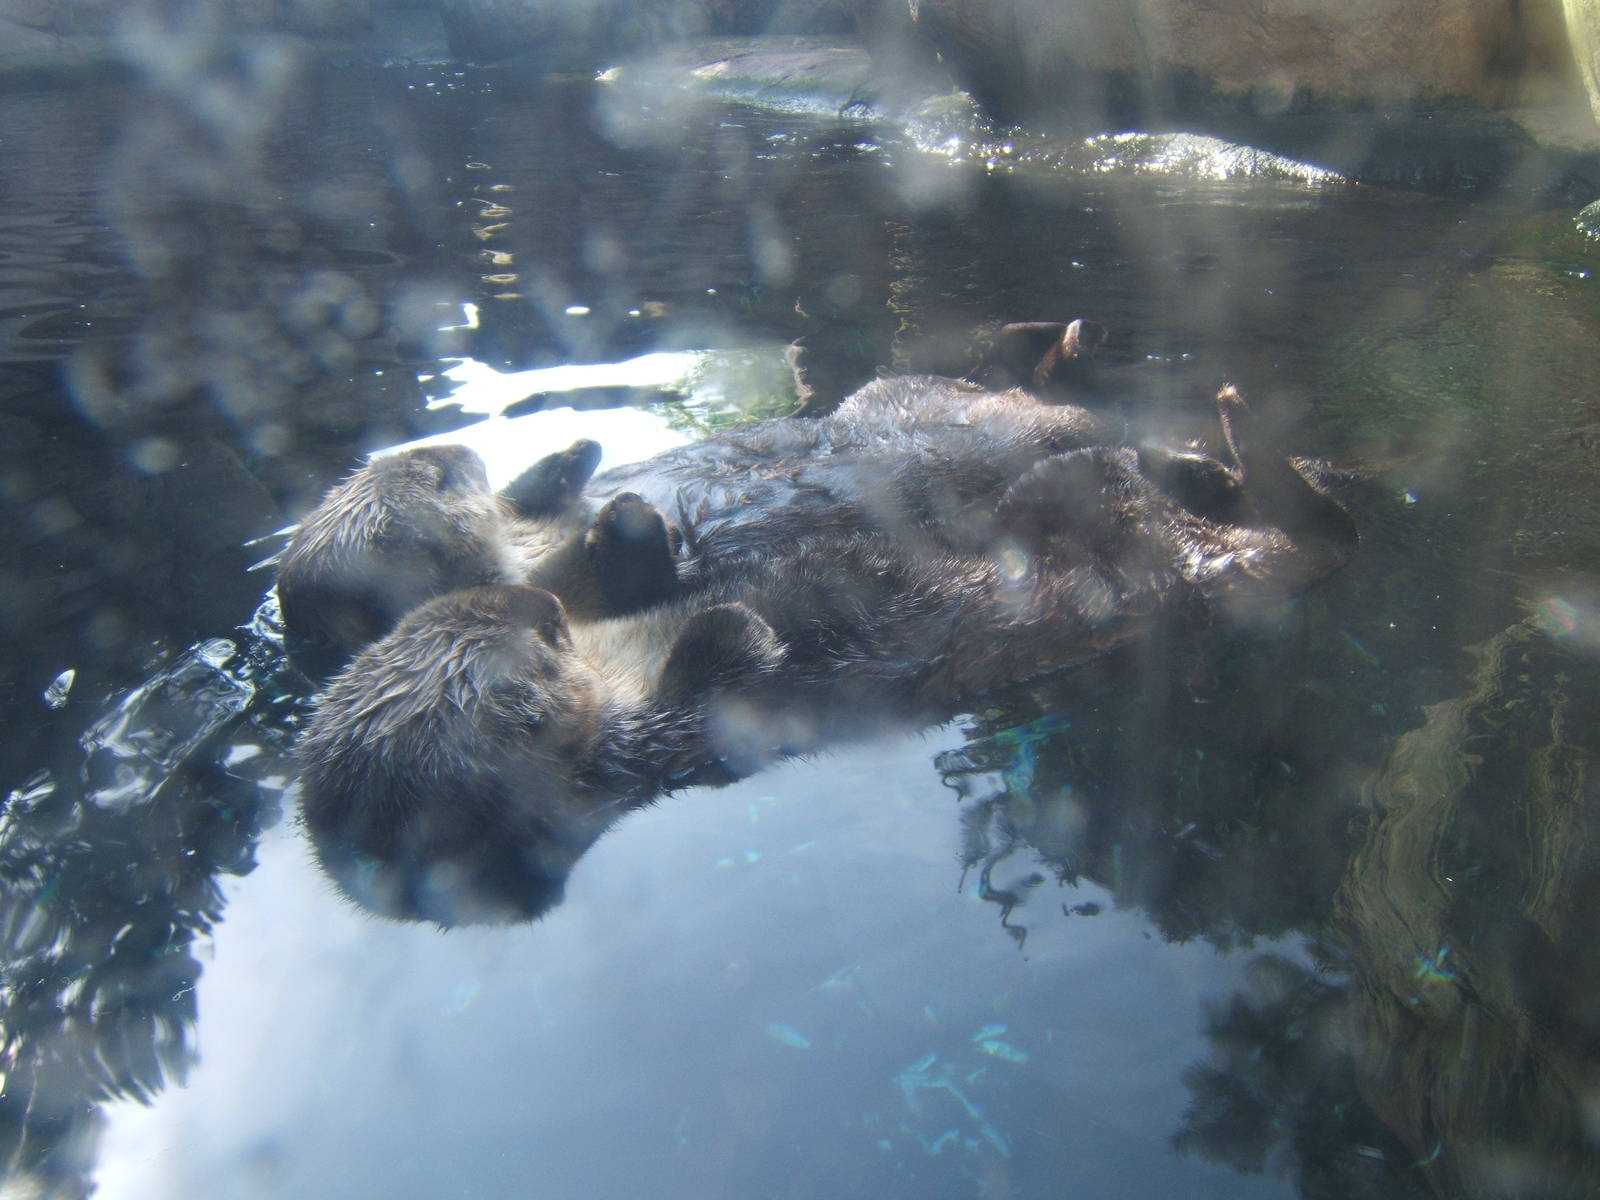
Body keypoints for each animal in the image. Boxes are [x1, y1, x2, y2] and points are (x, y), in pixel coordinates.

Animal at [297, 384, 1357, 925]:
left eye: (433, 473)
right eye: (533, 643)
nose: (533, 604)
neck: (613, 651)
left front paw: (584, 476)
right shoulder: (660, 737)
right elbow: (732, 666)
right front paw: (736, 617)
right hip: (1158, 554)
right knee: (1273, 519)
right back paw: (1216, 457)